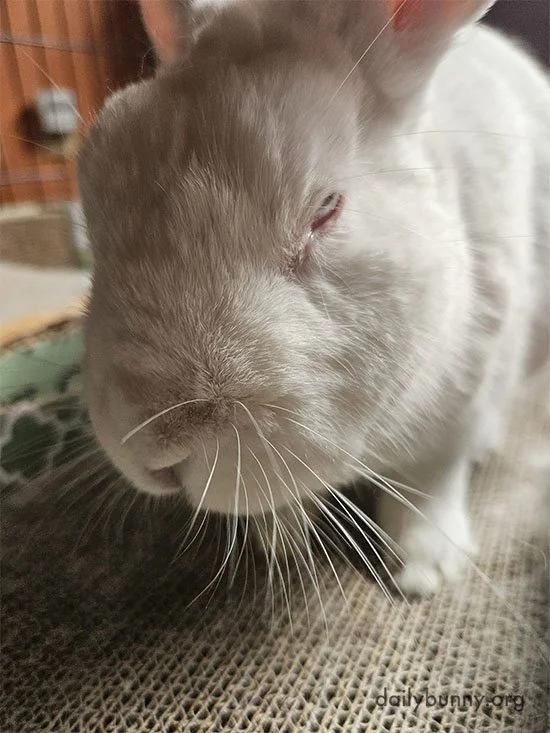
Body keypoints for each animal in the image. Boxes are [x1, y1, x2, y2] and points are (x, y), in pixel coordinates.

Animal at [77, 0, 550, 597]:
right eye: (91, 183)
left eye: (327, 209)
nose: (153, 454)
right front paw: (281, 535)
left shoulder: (463, 400)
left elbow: (432, 481)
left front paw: (424, 571)